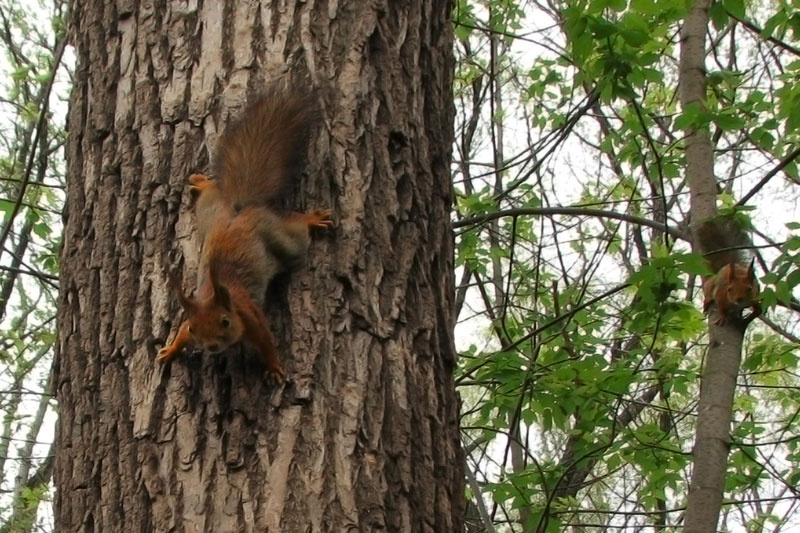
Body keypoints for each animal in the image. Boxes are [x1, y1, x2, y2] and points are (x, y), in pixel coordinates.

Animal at [157, 86, 332, 383]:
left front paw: (273, 368)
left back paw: (310, 219)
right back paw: (202, 183)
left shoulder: (251, 318)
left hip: (281, 239)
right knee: (210, 194)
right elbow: (179, 335)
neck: (220, 296)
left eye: (225, 321)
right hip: (209, 213)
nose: (211, 346)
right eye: (193, 329)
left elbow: (267, 342)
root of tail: (239, 211)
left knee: (295, 232)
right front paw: (170, 349)